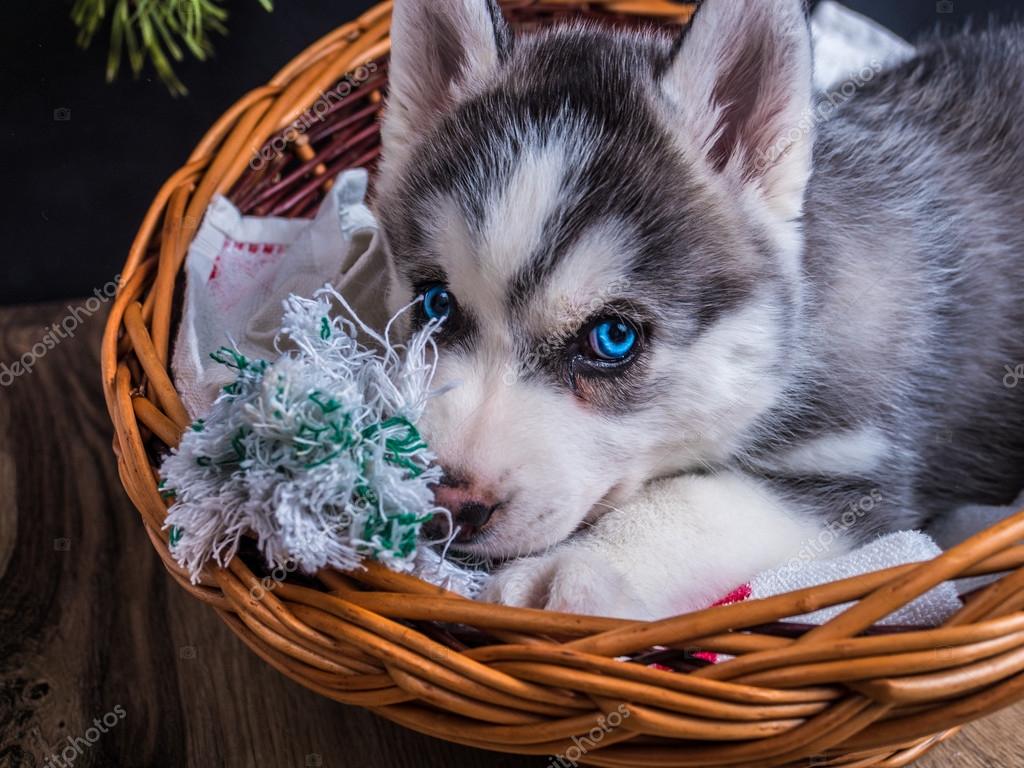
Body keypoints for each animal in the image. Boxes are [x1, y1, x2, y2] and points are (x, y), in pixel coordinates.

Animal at [374, 0, 1024, 618]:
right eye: (435, 303)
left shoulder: (863, 475)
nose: (446, 501)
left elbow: (692, 502)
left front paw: (578, 569)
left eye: (613, 337)